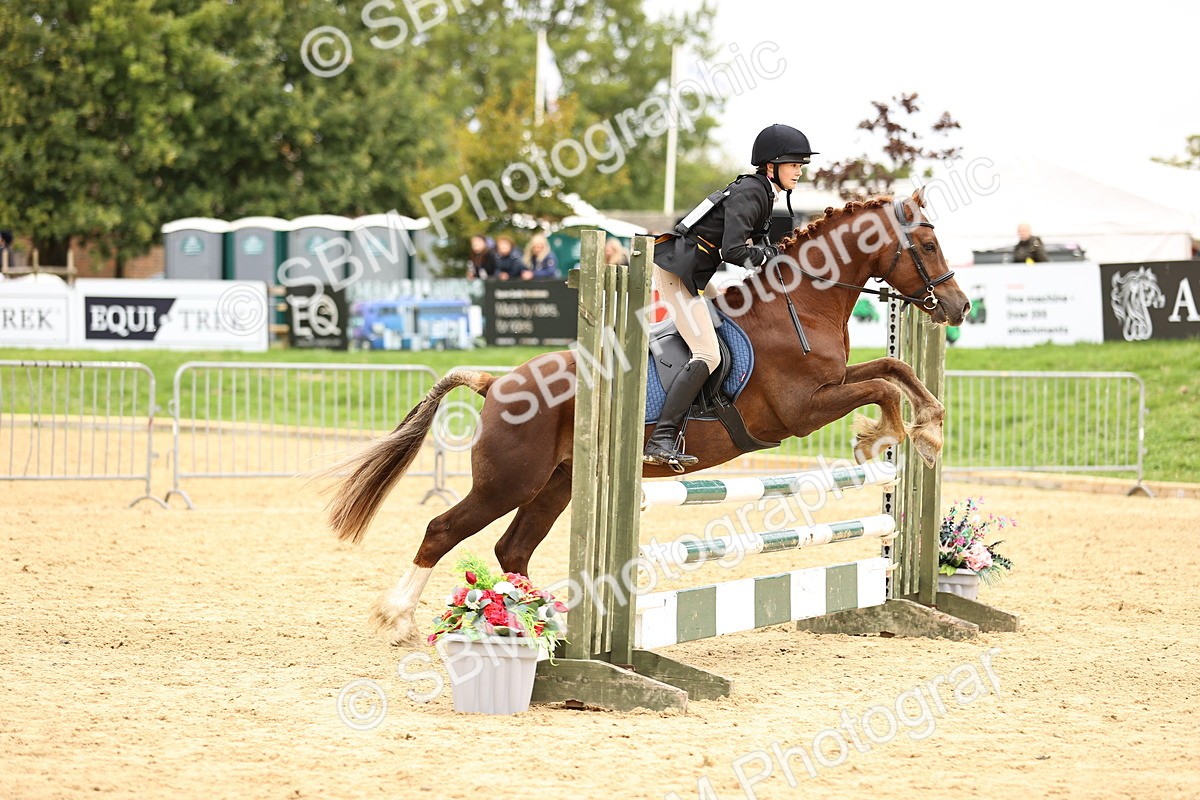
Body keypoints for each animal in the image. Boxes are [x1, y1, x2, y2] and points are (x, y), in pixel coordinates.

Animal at [323, 188, 970, 645]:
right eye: (928, 245)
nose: (960, 307)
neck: (800, 303)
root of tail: (497, 381)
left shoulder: (833, 382)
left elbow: (893, 366)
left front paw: (928, 427)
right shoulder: (803, 408)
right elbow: (882, 388)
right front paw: (889, 437)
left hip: (557, 484)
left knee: (513, 549)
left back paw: (541, 622)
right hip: (509, 481)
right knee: (443, 531)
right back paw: (399, 618)